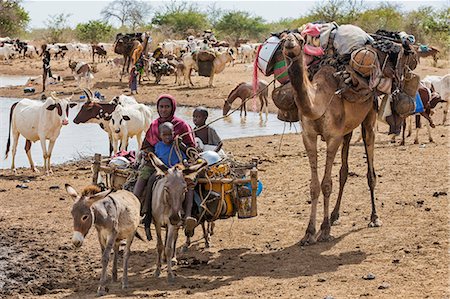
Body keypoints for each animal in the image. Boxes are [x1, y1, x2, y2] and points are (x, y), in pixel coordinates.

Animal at [284, 32, 382, 246]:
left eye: (299, 39)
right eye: (283, 39)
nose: (289, 44)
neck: (318, 101)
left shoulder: (333, 137)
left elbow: (326, 184)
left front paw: (324, 230)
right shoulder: (308, 136)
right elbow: (314, 186)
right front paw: (309, 233)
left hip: (369, 116)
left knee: (370, 168)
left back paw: (374, 217)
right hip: (347, 130)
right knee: (344, 171)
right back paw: (335, 215)